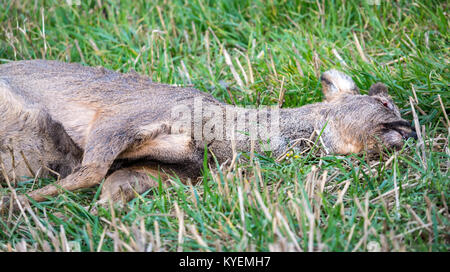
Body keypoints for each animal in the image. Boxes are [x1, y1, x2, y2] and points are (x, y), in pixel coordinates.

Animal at [0, 59, 416, 208]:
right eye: (384, 104)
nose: (408, 132)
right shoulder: (120, 118)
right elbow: (90, 171)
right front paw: (12, 206)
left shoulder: (169, 170)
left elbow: (111, 182)